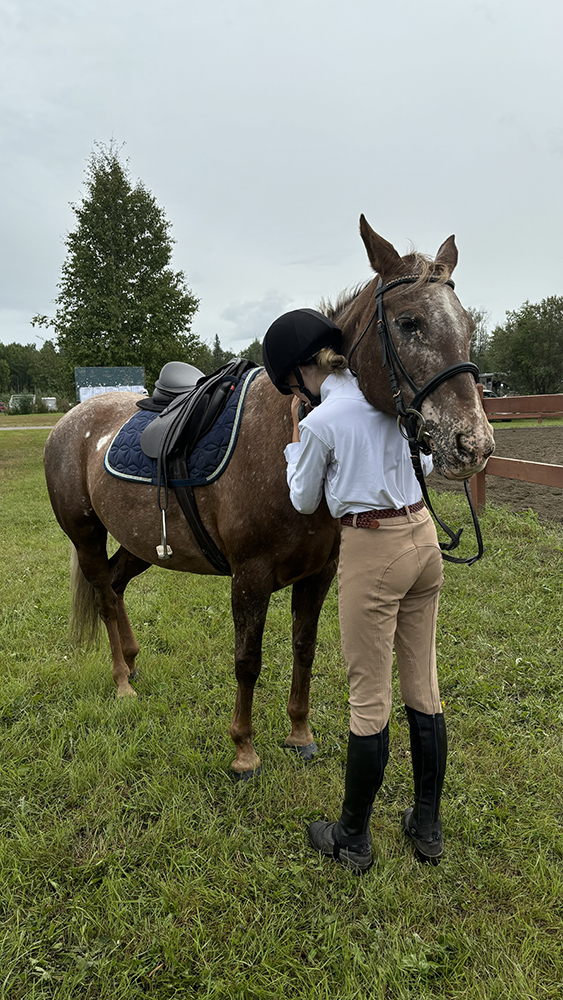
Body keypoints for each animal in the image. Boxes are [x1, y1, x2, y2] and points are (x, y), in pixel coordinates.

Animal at [43, 217, 494, 780]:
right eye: (410, 322)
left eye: (468, 326)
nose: (473, 444)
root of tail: (70, 422)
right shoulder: (250, 577)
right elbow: (248, 660)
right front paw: (244, 751)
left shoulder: (319, 573)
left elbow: (304, 647)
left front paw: (299, 734)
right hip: (85, 535)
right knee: (105, 594)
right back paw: (122, 681)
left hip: (140, 542)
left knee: (118, 584)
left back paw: (131, 659)